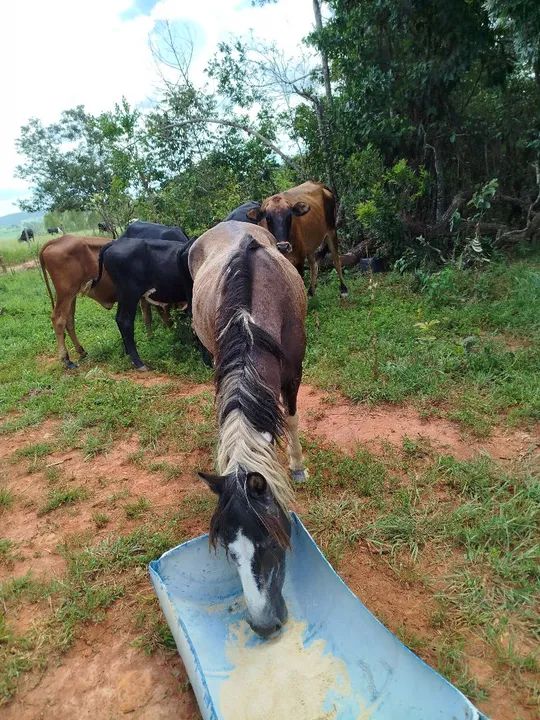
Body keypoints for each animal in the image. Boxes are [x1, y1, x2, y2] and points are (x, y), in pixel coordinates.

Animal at [189, 220, 307, 638]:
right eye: (229, 552)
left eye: (270, 541)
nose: (262, 624)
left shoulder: (294, 373)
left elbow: (290, 418)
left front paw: (297, 466)